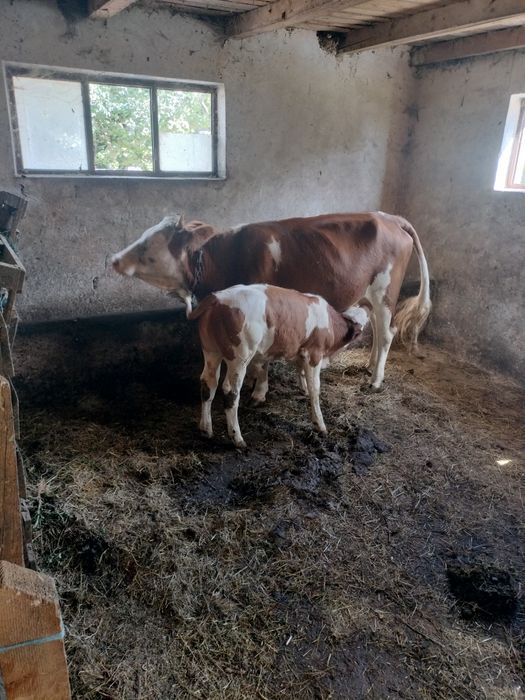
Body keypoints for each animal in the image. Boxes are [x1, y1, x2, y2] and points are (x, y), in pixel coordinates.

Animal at [112, 212, 431, 390]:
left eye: (147, 246)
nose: (114, 259)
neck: (227, 255)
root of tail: (389, 218)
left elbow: (260, 358)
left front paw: (258, 387)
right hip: (371, 295)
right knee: (377, 328)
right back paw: (369, 365)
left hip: (385, 292)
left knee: (387, 332)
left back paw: (375, 380)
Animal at [189, 284, 367, 447]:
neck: (329, 321)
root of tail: (218, 297)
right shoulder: (314, 353)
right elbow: (315, 389)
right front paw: (319, 424)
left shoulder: (298, 350)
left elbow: (294, 370)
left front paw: (300, 388)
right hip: (240, 357)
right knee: (231, 391)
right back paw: (237, 438)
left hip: (211, 351)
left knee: (208, 384)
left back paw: (205, 429)